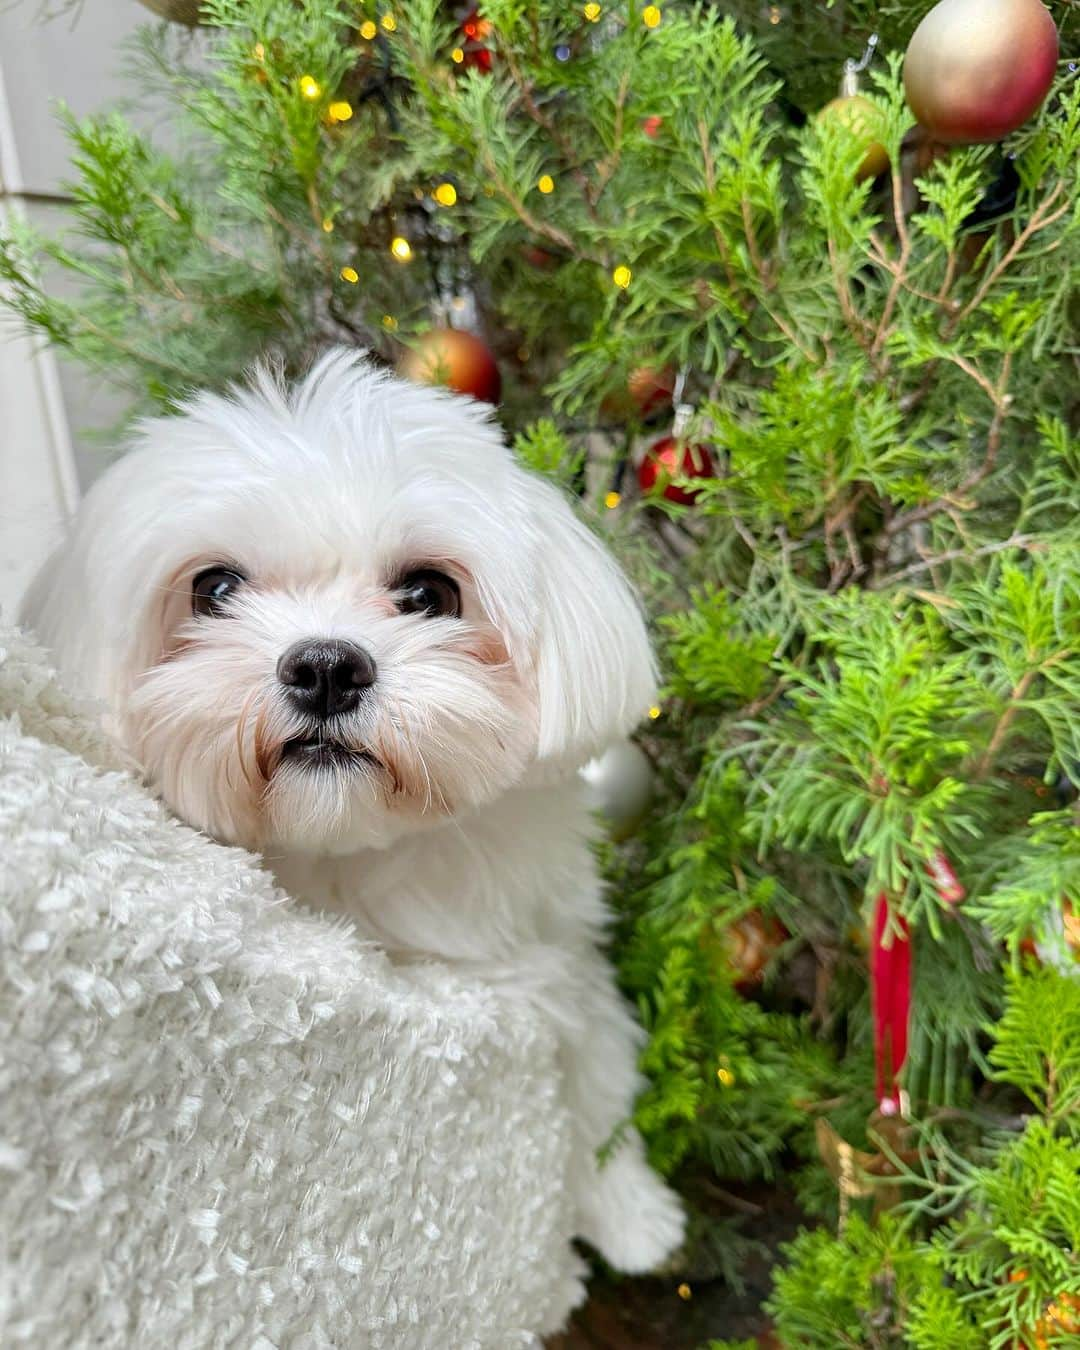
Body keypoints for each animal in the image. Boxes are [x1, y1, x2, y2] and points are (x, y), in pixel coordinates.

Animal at [21, 348, 683, 1274]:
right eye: (213, 588)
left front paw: (635, 1216)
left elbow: (594, 1079)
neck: (352, 854)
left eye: (430, 592)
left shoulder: (555, 958)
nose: (327, 667)